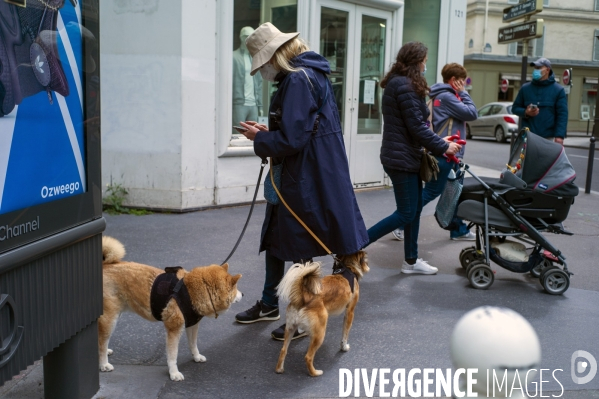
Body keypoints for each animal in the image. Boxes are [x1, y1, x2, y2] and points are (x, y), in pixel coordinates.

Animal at [99, 236, 243, 382]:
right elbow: (173, 355)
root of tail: (105, 265)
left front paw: (196, 357)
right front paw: (174, 373)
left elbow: (193, 344)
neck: (192, 291)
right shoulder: (174, 329)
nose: (242, 294)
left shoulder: (192, 324)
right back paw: (104, 364)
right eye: (236, 289)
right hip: (110, 318)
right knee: (101, 342)